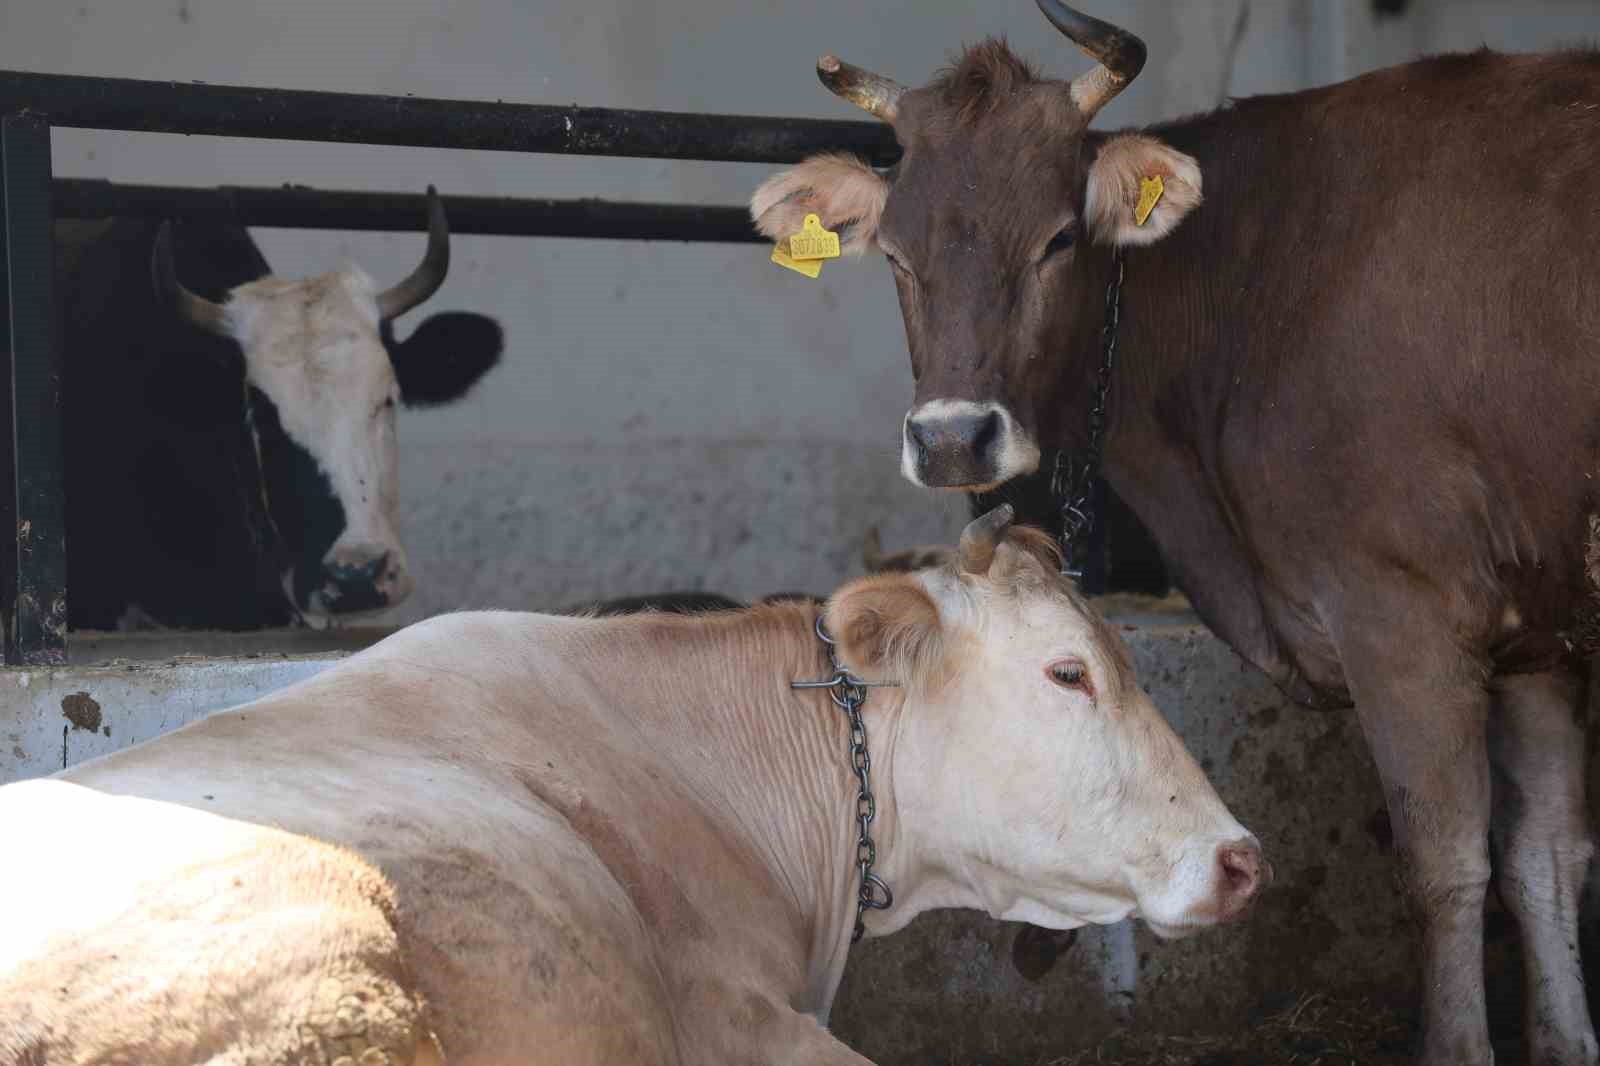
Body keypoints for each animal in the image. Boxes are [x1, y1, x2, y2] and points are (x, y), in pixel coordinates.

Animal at [755, 4, 1600, 1056]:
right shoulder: (1539, 634)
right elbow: (1544, 859)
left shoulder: (1400, 612)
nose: (952, 439)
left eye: (1058, 239)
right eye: (897, 255)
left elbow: (1446, 865)